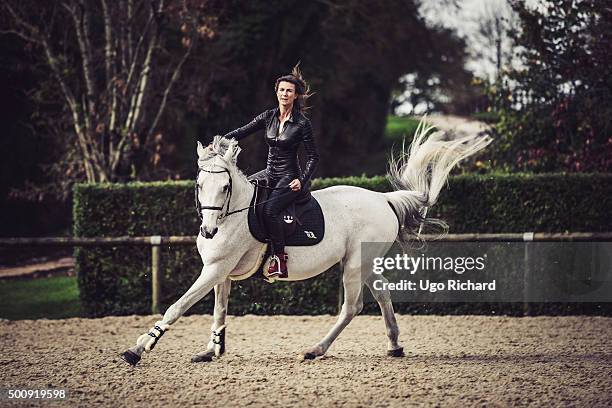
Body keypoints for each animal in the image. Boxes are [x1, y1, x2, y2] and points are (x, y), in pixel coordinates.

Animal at [122, 122, 490, 366]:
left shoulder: (214, 270)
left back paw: (315, 350)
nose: (209, 230)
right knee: (383, 295)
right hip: (367, 263)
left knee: (352, 307)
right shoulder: (221, 273)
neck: (231, 216)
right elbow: (219, 311)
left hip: (354, 264)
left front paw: (138, 349)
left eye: (225, 187)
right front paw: (212, 350)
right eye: (199, 184)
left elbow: (177, 306)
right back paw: (394, 346)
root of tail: (384, 200)